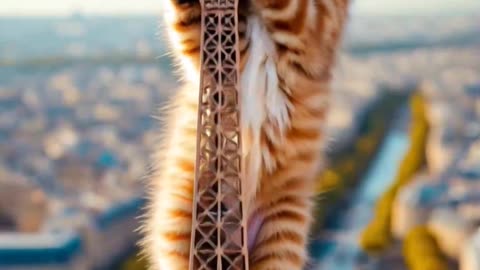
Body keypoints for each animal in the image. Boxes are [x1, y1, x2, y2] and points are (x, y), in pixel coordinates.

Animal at [141, 0, 350, 268]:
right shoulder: (215, 52)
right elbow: (187, 23)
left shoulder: (314, 25)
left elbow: (295, 8)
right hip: (180, 221)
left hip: (282, 235)